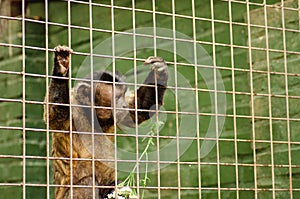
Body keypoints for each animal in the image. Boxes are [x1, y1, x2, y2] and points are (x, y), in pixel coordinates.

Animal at [44, 45, 169, 199]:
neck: (91, 115)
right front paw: (61, 68)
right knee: (86, 184)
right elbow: (56, 113)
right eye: (116, 98)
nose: (123, 105)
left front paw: (159, 72)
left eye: (122, 96)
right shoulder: (72, 107)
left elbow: (140, 109)